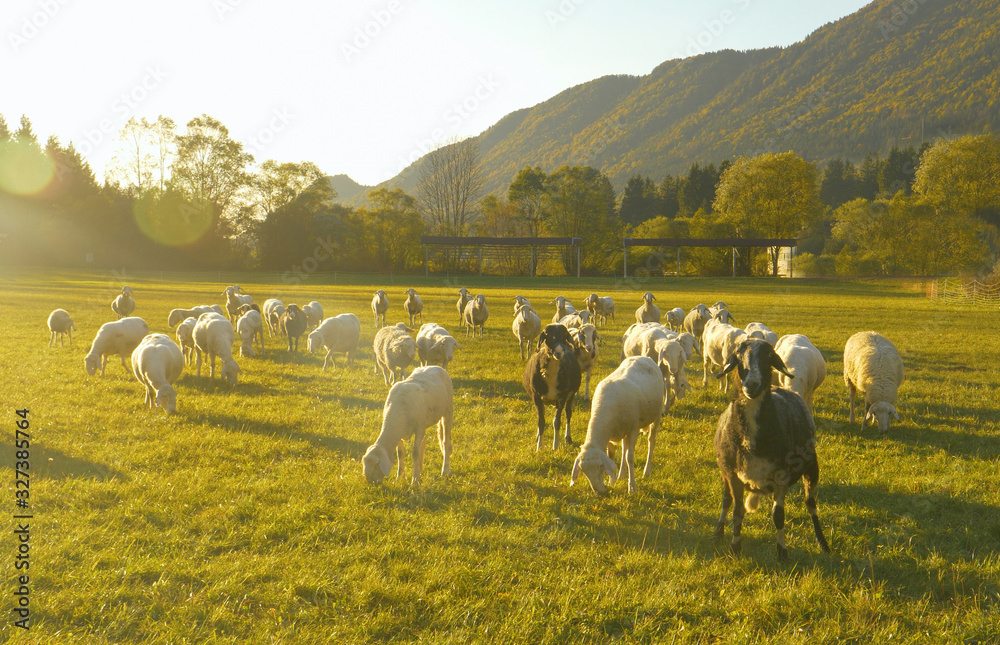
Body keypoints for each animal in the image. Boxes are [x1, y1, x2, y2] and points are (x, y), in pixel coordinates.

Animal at [572, 354, 664, 496]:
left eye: (600, 466)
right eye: (584, 471)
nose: (598, 492)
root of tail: (643, 357)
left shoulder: (633, 429)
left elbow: (630, 457)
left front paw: (632, 487)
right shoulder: (611, 434)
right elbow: (612, 455)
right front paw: (612, 481)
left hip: (657, 416)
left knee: (651, 442)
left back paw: (646, 472)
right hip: (623, 429)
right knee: (624, 447)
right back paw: (621, 475)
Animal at [716, 340, 832, 560]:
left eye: (769, 356)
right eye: (738, 355)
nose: (752, 384)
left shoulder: (782, 476)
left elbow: (778, 515)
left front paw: (782, 553)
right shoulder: (733, 475)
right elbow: (736, 511)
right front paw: (735, 548)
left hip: (812, 467)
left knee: (811, 504)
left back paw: (823, 543)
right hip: (725, 472)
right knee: (726, 500)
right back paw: (717, 532)